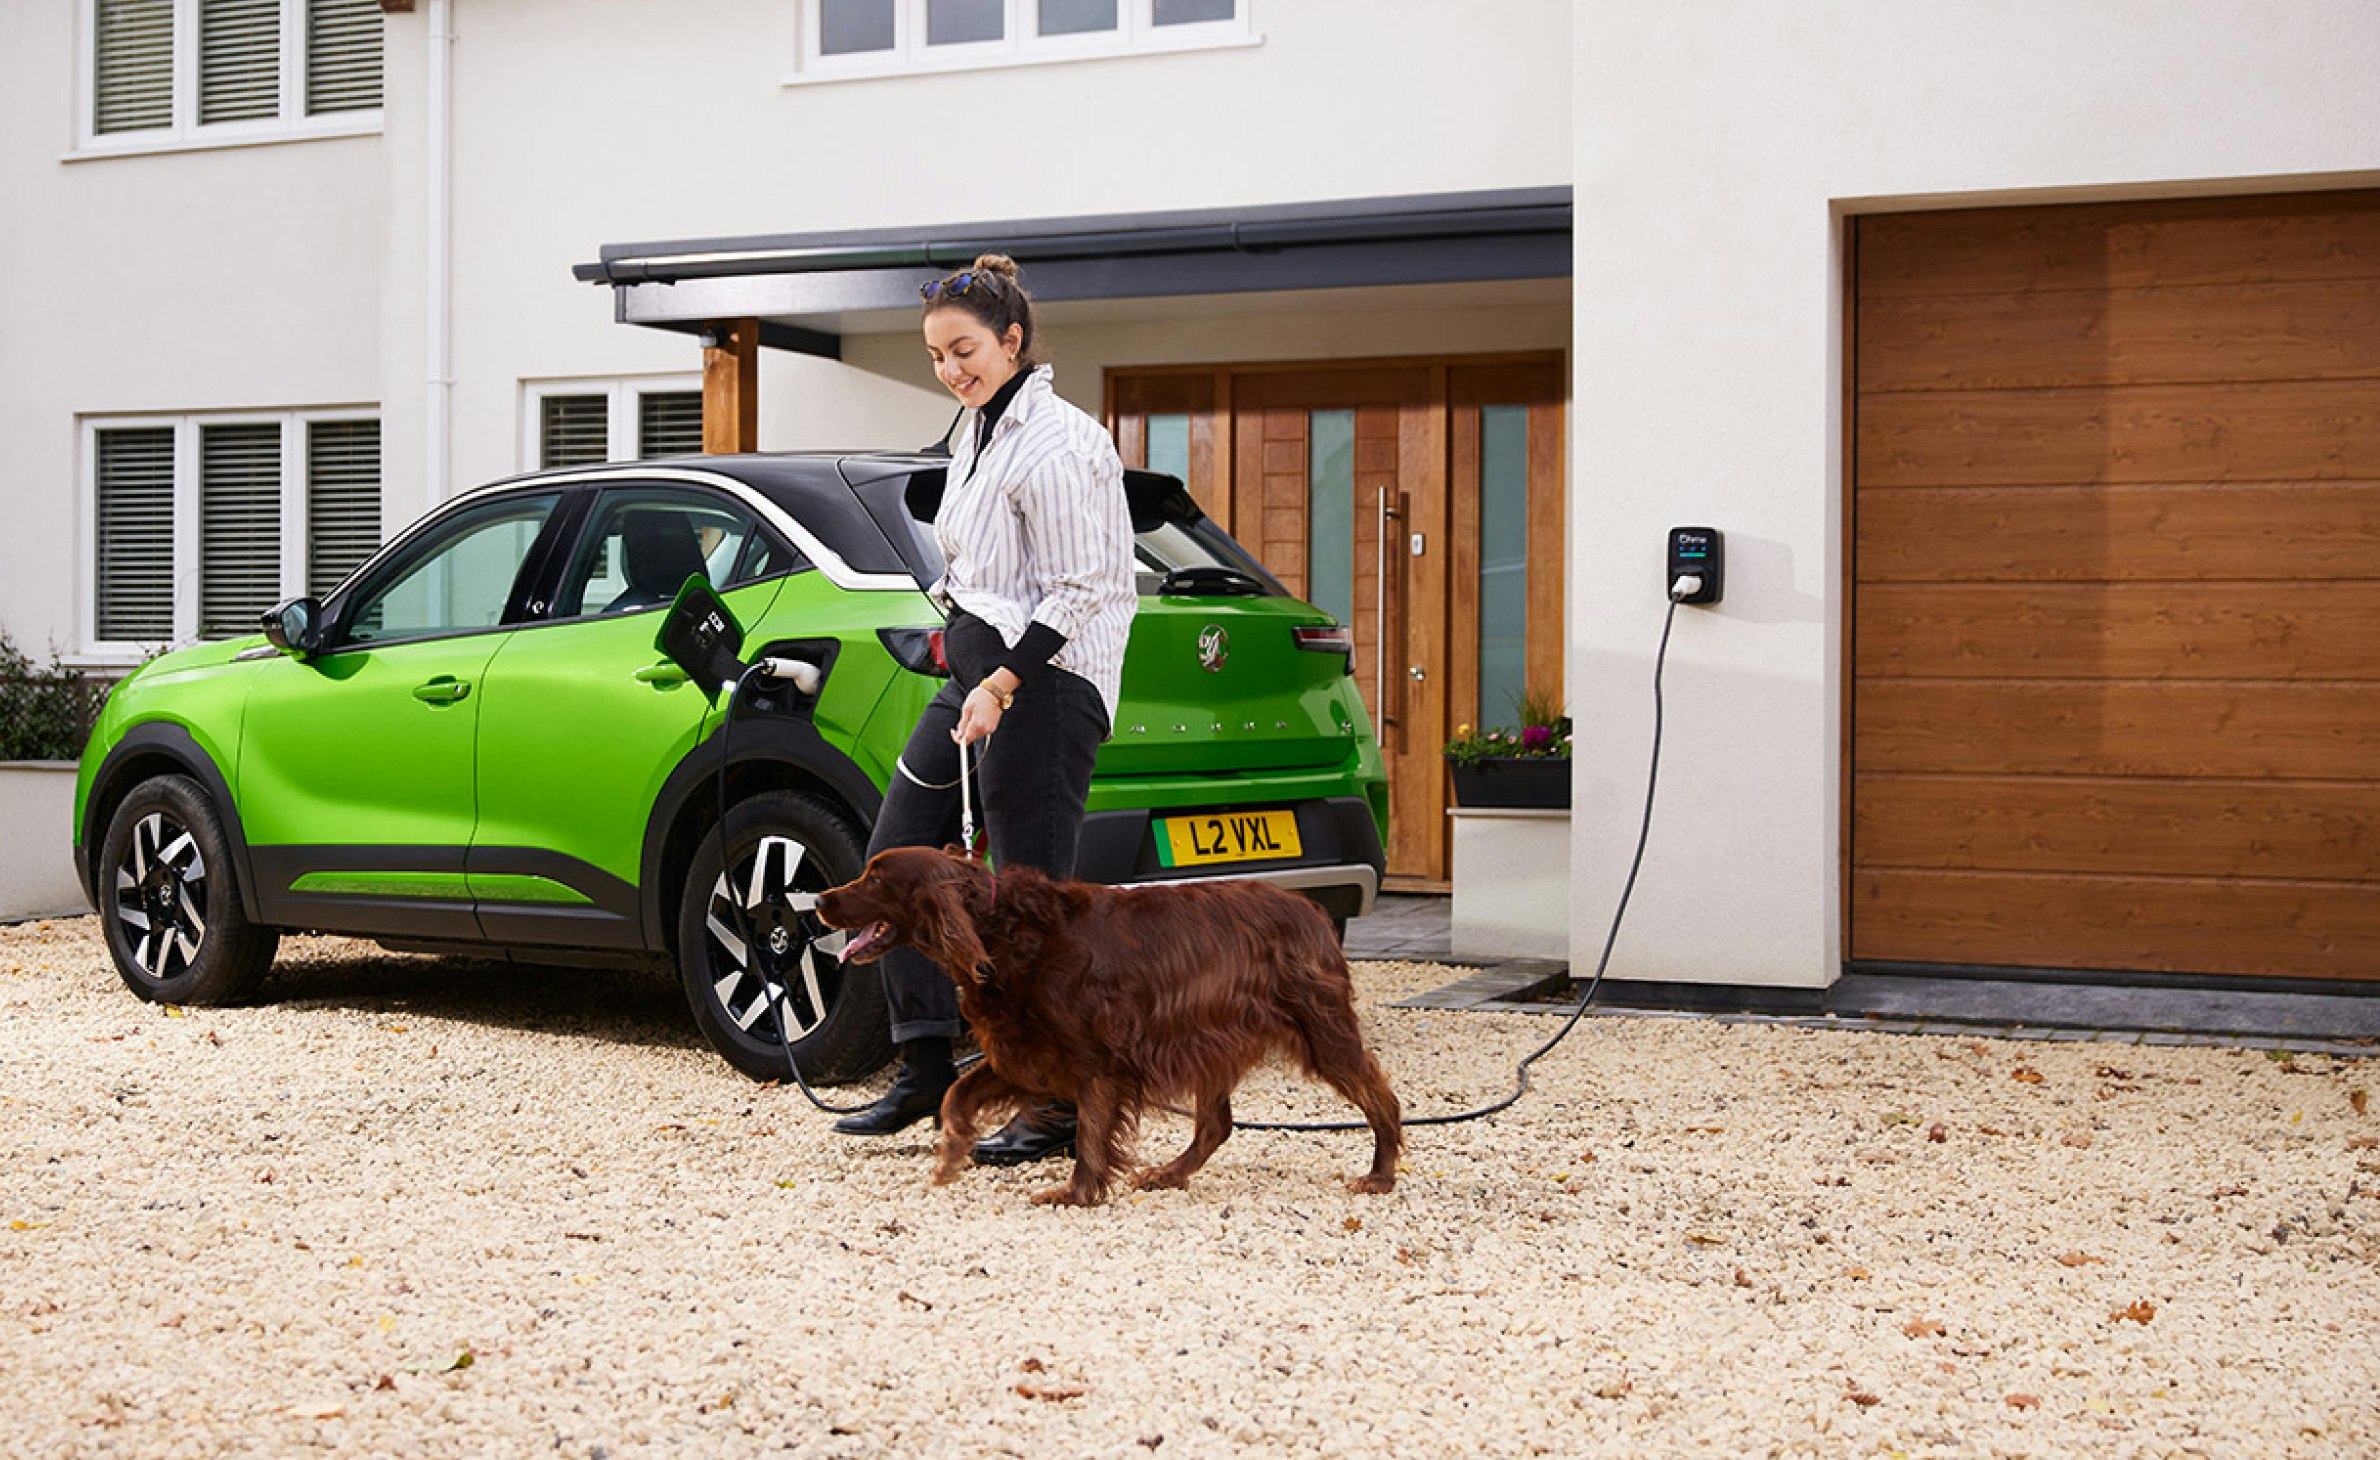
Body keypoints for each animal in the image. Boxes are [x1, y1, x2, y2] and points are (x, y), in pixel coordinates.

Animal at [818, 843, 1389, 1205]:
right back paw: (1169, 1173)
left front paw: (1077, 1194)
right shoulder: (1022, 1050)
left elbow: (1091, 1132)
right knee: (1216, 1125)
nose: (820, 899)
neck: (1001, 930)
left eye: (875, 877)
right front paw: (951, 1156)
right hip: (1211, 1041)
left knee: (1382, 1099)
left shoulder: (1097, 1061)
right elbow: (955, 1095)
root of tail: (1311, 910)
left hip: (1322, 1031)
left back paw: (1381, 1175)